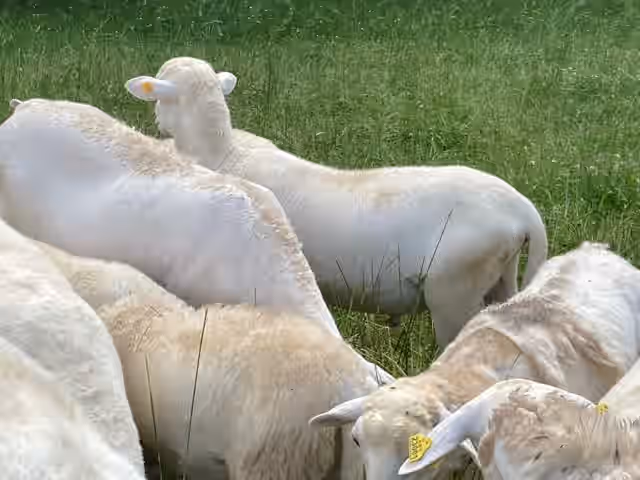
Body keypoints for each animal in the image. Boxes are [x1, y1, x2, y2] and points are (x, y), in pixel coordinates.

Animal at [124, 56, 549, 346]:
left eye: (159, 99)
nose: (155, 123)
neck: (222, 151)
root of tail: (521, 209)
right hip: (499, 276)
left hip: (454, 290)